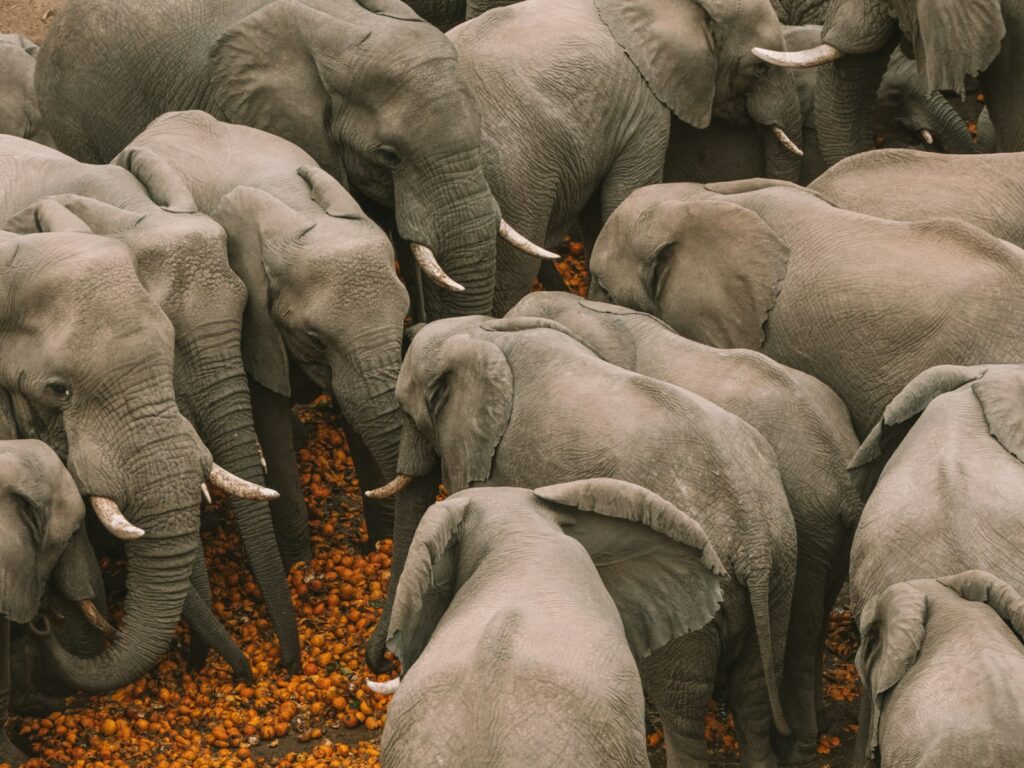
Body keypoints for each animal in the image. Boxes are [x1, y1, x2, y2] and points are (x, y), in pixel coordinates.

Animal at [114, 110, 410, 550]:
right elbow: (268, 421)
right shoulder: (256, 325)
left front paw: (379, 547)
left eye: (405, 315)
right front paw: (299, 561)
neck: (300, 209)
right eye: (314, 338)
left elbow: (354, 405)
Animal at [449, 0, 805, 314]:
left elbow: (596, 216)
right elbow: (625, 193)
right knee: (514, 270)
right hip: (516, 175)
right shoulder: (644, 105)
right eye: (760, 69)